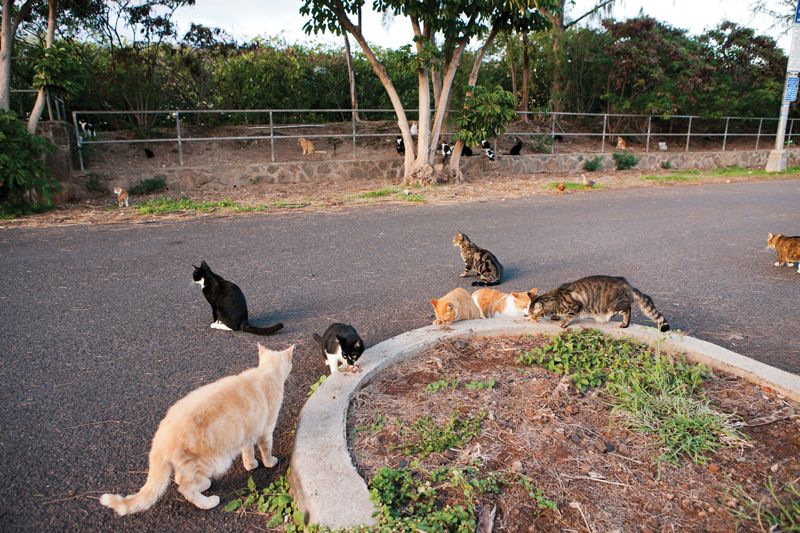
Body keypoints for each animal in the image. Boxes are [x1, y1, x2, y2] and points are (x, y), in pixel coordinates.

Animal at [100, 342, 294, 512]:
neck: (265, 373)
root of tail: (160, 437)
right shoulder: (266, 430)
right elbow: (266, 449)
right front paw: (269, 462)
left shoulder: (247, 433)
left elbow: (248, 451)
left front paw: (250, 465)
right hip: (208, 461)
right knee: (185, 488)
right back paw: (208, 500)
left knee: (181, 479)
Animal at [528, 276, 672, 330]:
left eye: (532, 314)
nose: (529, 319)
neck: (555, 298)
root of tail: (628, 285)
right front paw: (556, 316)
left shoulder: (575, 306)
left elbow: (569, 316)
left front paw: (563, 323)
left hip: (615, 305)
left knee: (628, 309)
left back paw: (624, 324)